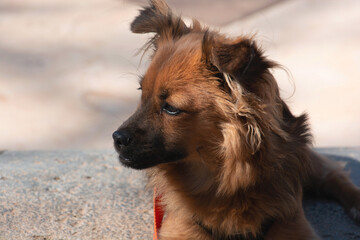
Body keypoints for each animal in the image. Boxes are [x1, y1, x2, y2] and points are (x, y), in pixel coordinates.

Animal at [112, 0, 360, 239]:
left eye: (171, 109)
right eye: (142, 94)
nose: (116, 138)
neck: (225, 180)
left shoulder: (292, 224)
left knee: (333, 174)